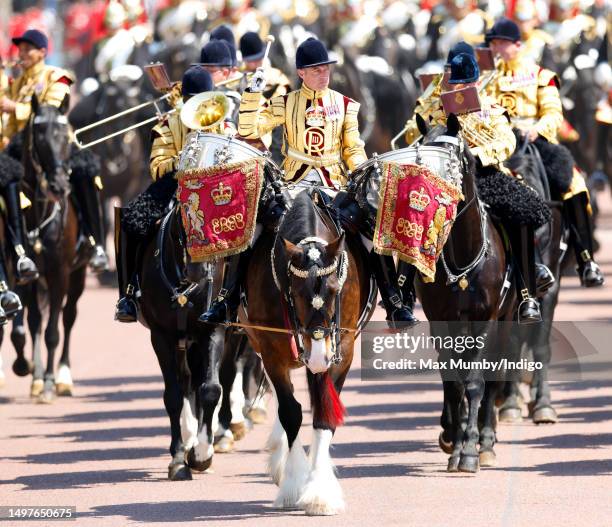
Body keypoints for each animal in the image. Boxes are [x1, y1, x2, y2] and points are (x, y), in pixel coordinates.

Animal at [243, 190, 368, 516]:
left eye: (335, 290)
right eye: (297, 292)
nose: (317, 356)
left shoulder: (342, 350)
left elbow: (323, 415)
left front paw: (319, 493)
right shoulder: (271, 349)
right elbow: (291, 413)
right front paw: (294, 483)